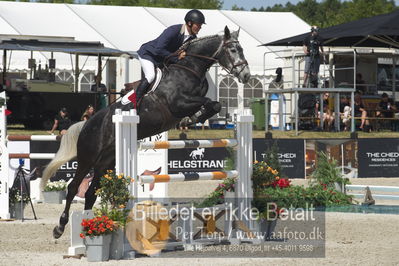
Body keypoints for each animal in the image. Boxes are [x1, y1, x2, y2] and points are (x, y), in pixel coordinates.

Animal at [42, 25, 252, 239]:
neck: (191, 68)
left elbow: (215, 105)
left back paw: (89, 226)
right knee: (73, 187)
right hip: (88, 158)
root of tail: (86, 124)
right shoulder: (178, 103)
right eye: (233, 49)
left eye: (242, 49)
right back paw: (60, 227)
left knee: (91, 192)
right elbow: (210, 103)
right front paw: (191, 119)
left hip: (106, 162)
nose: (246, 76)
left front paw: (193, 119)